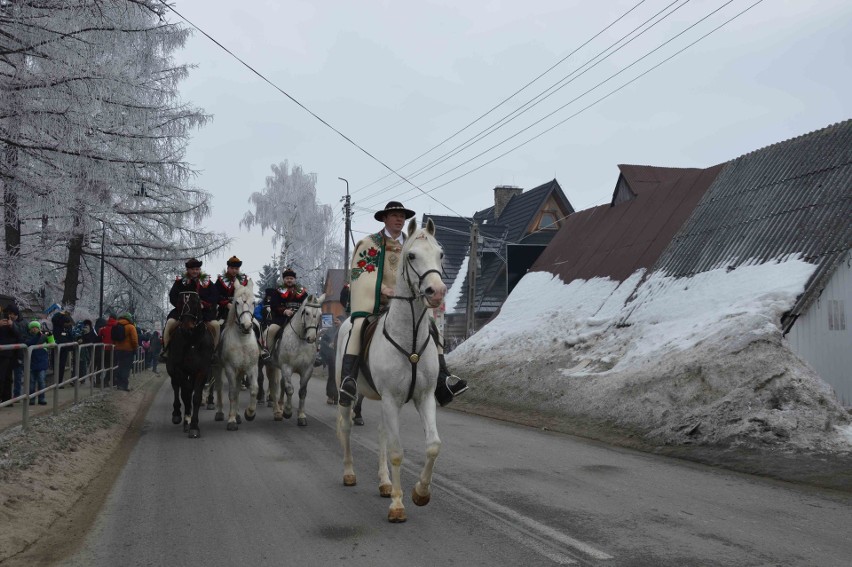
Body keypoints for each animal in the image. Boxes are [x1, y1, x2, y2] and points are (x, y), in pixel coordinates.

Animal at [166, 292, 213, 440]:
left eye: (196, 302)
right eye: (180, 302)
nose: (187, 326)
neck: (192, 340)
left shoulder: (202, 371)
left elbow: (196, 397)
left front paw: (194, 426)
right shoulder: (179, 369)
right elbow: (185, 393)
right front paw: (187, 419)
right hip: (172, 370)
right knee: (176, 387)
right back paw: (177, 414)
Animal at [212, 278, 258, 430]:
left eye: (254, 302)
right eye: (236, 302)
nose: (247, 326)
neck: (242, 341)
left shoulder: (251, 368)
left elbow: (253, 389)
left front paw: (249, 413)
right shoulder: (230, 369)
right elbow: (232, 393)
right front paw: (231, 420)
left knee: (238, 389)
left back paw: (238, 415)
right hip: (217, 367)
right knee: (219, 387)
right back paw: (220, 413)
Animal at [264, 296, 324, 424]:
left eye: (320, 315)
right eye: (307, 313)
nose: (311, 338)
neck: (300, 340)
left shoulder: (307, 370)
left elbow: (302, 392)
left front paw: (301, 416)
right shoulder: (287, 367)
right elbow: (290, 389)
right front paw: (287, 412)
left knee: (281, 383)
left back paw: (280, 405)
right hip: (271, 365)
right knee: (273, 384)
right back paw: (277, 409)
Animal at [336, 219, 446, 524]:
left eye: (441, 254)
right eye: (412, 256)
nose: (437, 292)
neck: (410, 341)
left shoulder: (424, 397)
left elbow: (433, 445)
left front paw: (421, 492)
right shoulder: (390, 398)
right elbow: (398, 452)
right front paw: (398, 505)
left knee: (382, 433)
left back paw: (385, 482)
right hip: (349, 396)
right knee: (347, 428)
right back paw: (349, 473)